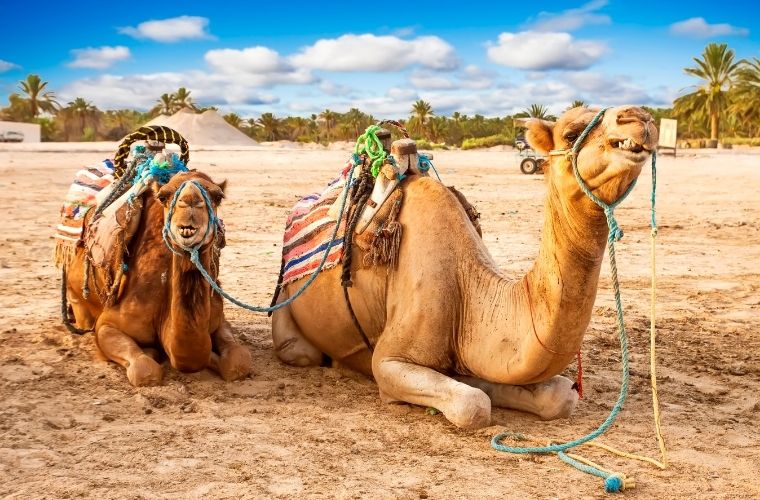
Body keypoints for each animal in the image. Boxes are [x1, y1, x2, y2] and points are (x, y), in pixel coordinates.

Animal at [62, 170, 252, 384]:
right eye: (163, 196)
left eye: (218, 196)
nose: (190, 201)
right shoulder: (107, 324)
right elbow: (145, 371)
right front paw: (152, 353)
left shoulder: (219, 319)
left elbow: (238, 362)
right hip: (76, 295)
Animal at [274, 105, 660, 430]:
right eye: (571, 133)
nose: (639, 117)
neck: (468, 285)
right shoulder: (389, 361)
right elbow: (473, 405)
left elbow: (559, 396)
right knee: (300, 351)